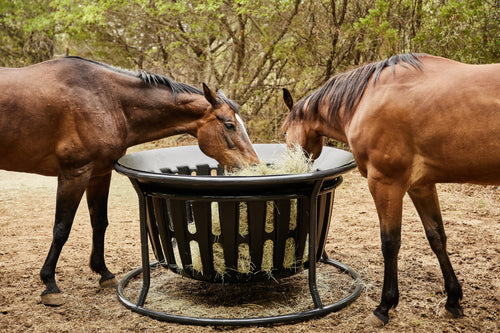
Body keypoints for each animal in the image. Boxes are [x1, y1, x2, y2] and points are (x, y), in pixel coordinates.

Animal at [0, 55, 258, 304]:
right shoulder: (74, 174)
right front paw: (50, 285)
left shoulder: (99, 174)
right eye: (229, 125)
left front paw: (103, 273)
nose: (254, 164)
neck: (105, 99)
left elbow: (99, 222)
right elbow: (61, 228)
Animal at [284, 53, 498, 326]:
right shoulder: (421, 185)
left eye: (284, 131)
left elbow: (390, 243)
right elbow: (437, 237)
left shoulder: (385, 183)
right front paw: (452, 300)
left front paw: (384, 306)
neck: (366, 97)